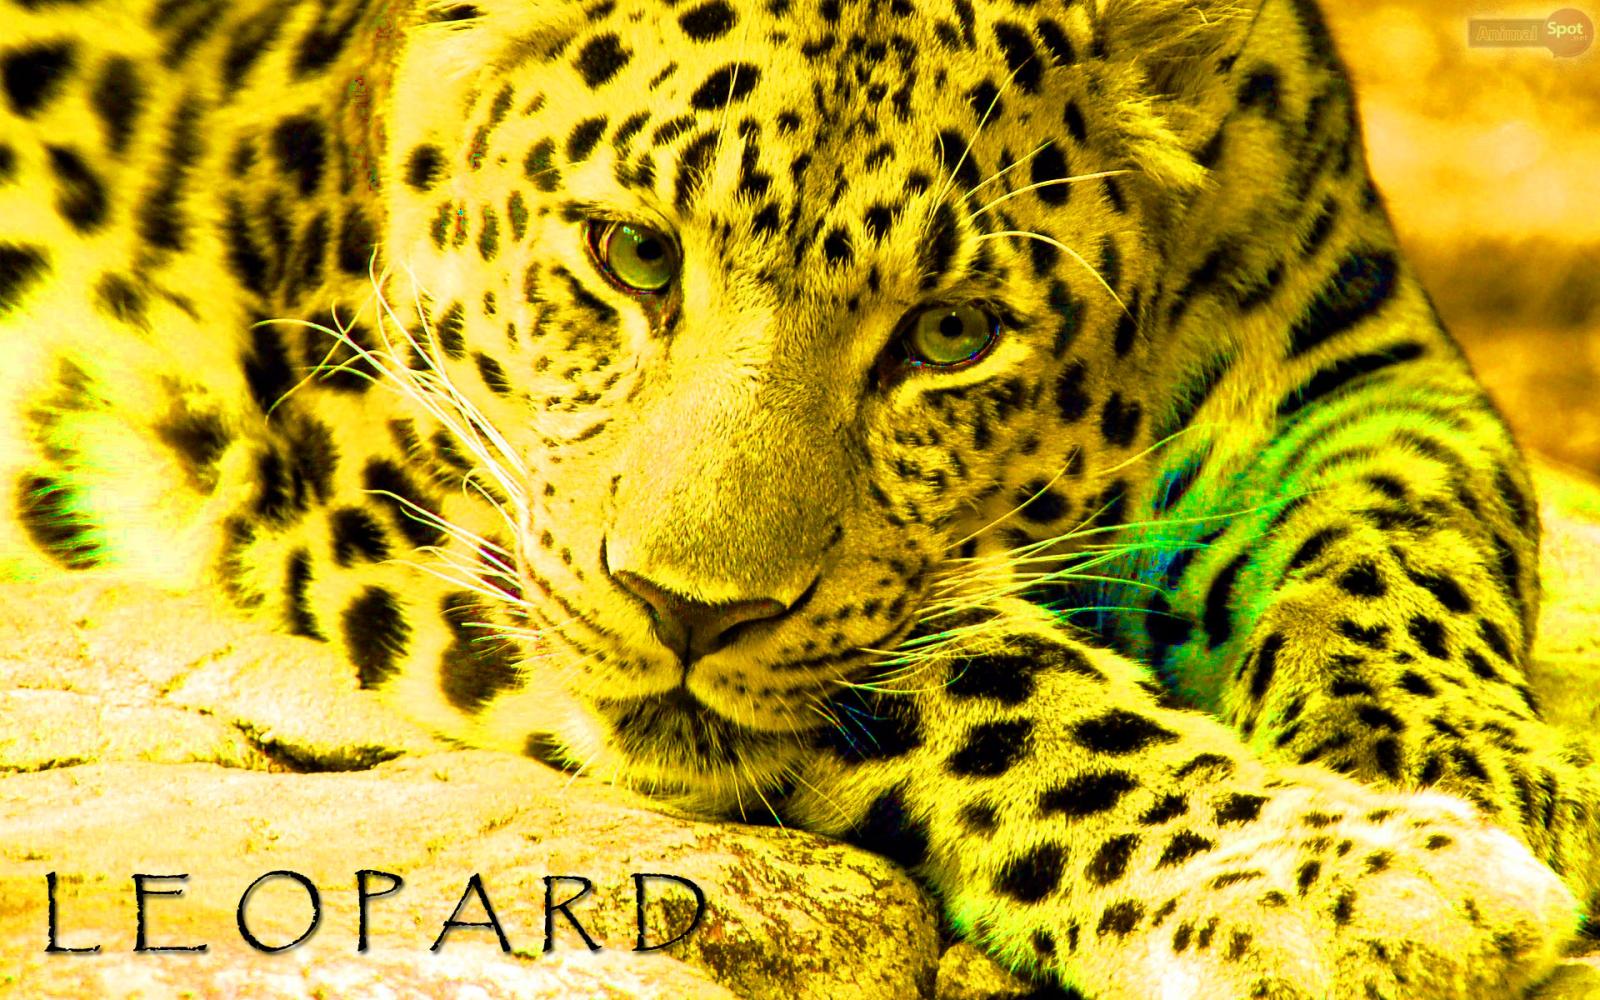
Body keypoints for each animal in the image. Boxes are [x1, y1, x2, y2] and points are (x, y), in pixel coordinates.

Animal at [2, 0, 1597, 996]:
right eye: (635, 254)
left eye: (952, 334)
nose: (683, 614)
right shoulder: (428, 465)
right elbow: (986, 680)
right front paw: (1335, 876)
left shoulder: (1358, 349)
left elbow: (1402, 536)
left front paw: (1446, 762)